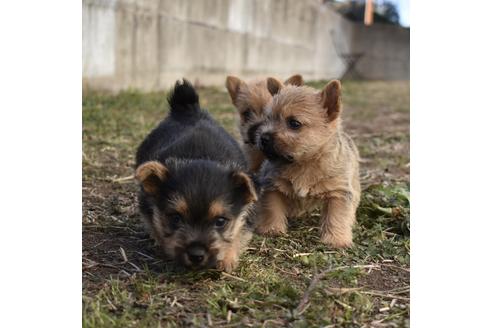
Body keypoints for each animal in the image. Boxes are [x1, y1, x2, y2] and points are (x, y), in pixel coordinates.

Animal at [135, 79, 258, 272]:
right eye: (175, 218)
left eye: (220, 221)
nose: (196, 255)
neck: (201, 156)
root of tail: (188, 109)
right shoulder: (146, 203)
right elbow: (155, 225)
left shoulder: (247, 217)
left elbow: (238, 234)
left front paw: (227, 259)